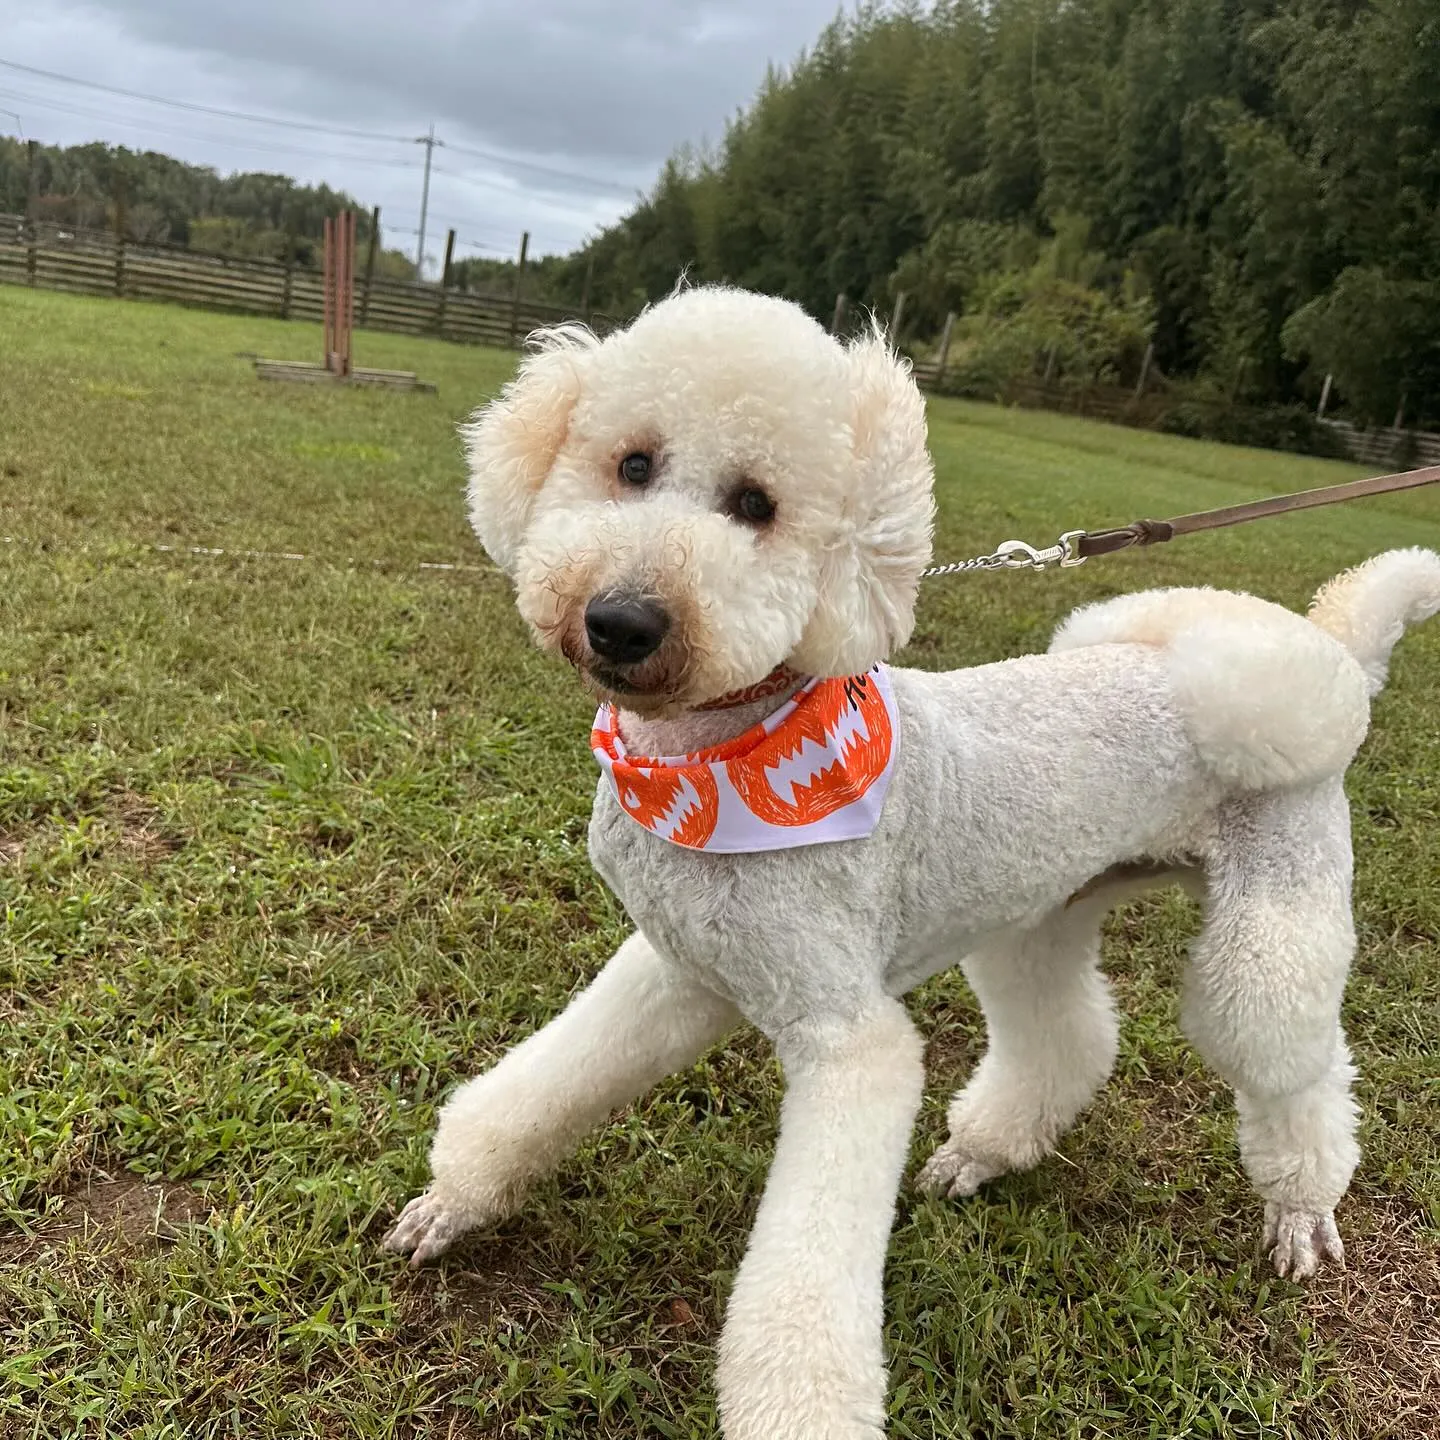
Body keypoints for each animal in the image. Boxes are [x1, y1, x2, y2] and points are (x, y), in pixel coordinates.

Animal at [388, 286, 1440, 1434]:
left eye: (757, 504)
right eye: (631, 465)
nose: (621, 621)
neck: (718, 766)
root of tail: (1333, 659)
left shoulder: (845, 1038)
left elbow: (807, 1270)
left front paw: (800, 1411)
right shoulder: (685, 969)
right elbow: (548, 1085)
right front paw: (455, 1201)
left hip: (1271, 925)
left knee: (1294, 1064)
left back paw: (1299, 1212)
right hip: (1037, 917)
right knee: (1063, 1039)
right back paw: (980, 1154)